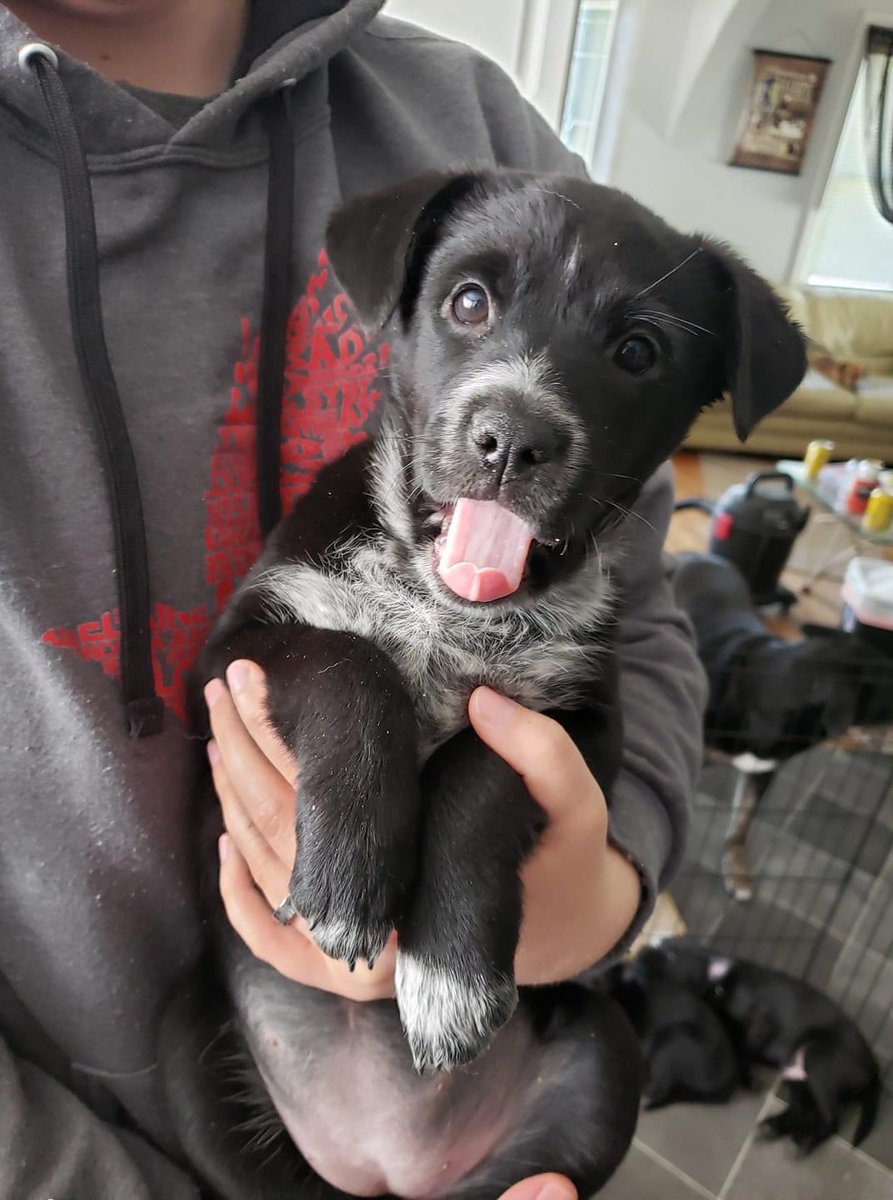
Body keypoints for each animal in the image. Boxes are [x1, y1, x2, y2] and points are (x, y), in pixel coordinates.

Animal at [657, 936, 878, 1152]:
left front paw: (747, 1079)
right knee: (802, 1109)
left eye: (670, 955)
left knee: (832, 1119)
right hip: (798, 1078)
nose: (657, 944)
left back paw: (807, 1140)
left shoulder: (762, 1025)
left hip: (818, 1059)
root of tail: (873, 1070)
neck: (721, 987)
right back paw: (775, 1126)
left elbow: (742, 1053)